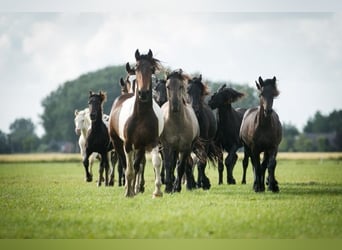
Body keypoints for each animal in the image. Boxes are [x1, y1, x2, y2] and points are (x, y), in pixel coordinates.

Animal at [109, 48, 164, 197]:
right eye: (137, 68)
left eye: (151, 69)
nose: (143, 93)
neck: (141, 115)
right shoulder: (128, 144)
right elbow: (129, 169)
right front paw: (129, 191)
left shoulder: (151, 142)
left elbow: (155, 163)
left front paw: (157, 191)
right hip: (117, 142)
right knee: (124, 164)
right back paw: (128, 188)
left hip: (139, 146)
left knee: (136, 164)